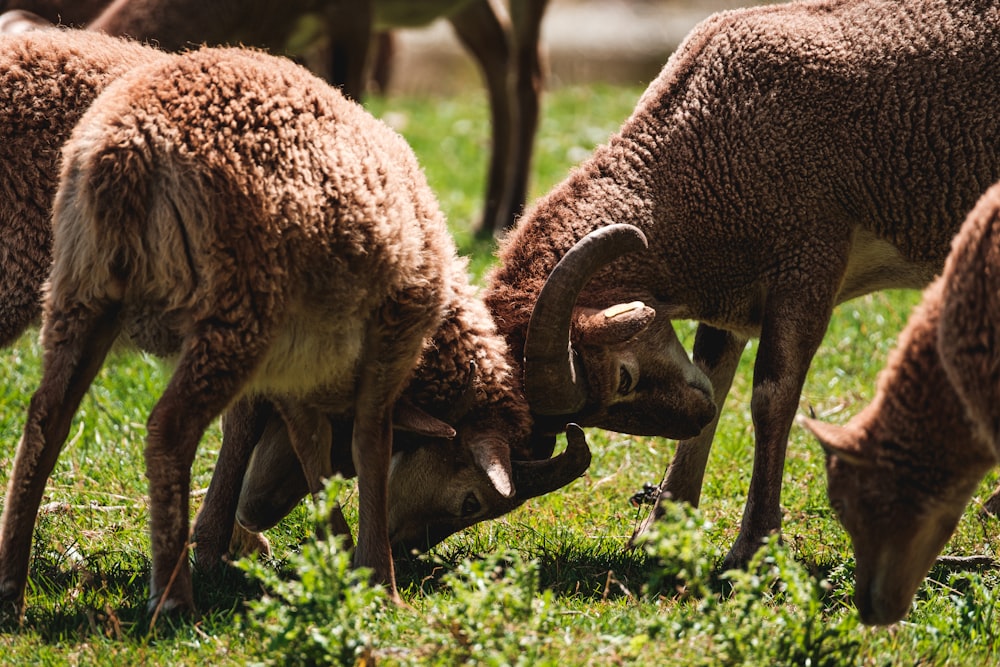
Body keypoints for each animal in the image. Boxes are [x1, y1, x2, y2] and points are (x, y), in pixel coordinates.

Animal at [0, 44, 588, 620]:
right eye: (473, 502)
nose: (409, 555)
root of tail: (125, 155)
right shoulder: (390, 336)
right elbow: (370, 441)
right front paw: (376, 574)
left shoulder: (299, 364)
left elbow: (310, 445)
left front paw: (331, 550)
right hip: (234, 307)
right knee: (168, 429)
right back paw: (171, 600)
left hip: (82, 288)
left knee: (45, 421)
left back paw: (13, 590)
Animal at [478, 0, 1000, 568]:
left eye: (623, 379)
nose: (693, 416)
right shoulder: (732, 298)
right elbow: (716, 373)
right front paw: (661, 527)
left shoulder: (808, 261)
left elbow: (770, 398)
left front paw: (752, 546)